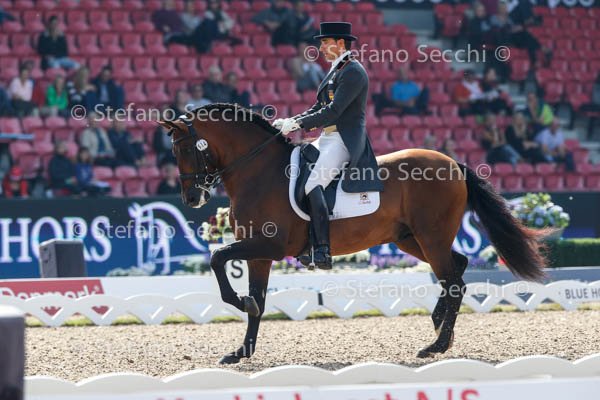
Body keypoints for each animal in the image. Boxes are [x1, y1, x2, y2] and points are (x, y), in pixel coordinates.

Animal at [159, 103, 548, 364]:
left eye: (184, 149)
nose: (192, 199)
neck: (259, 171)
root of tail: (452, 163)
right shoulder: (259, 253)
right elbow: (259, 301)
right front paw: (240, 350)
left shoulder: (269, 245)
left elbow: (217, 257)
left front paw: (240, 304)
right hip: (410, 238)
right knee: (458, 267)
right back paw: (439, 327)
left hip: (431, 236)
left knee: (454, 281)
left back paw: (435, 345)